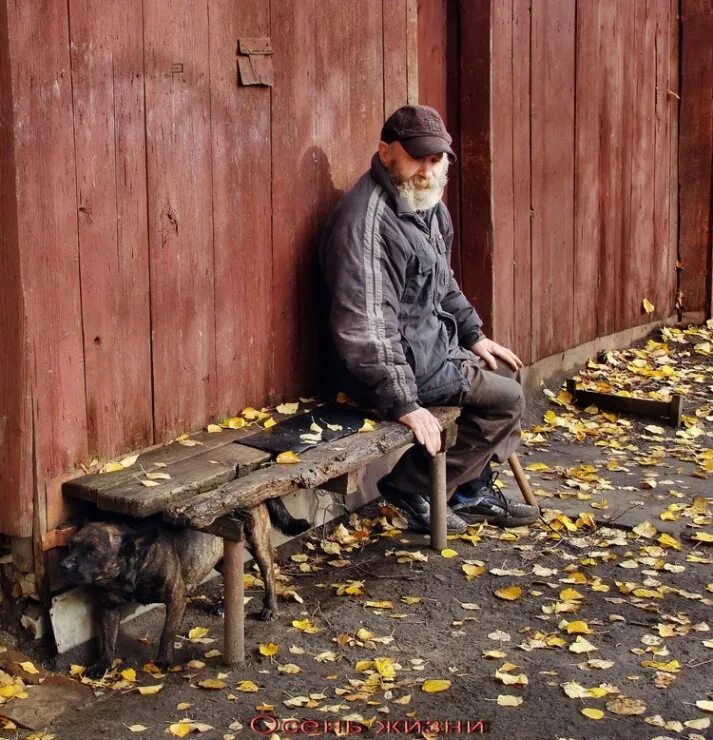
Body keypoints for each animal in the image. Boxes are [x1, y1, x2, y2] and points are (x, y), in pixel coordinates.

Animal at [60, 498, 306, 676]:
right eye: (71, 545)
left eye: (92, 551)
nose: (64, 565)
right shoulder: (109, 607)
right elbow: (108, 640)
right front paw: (103, 664)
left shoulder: (176, 598)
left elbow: (167, 633)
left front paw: (163, 660)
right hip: (219, 556)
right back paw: (223, 605)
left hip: (257, 542)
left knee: (268, 572)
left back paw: (270, 608)